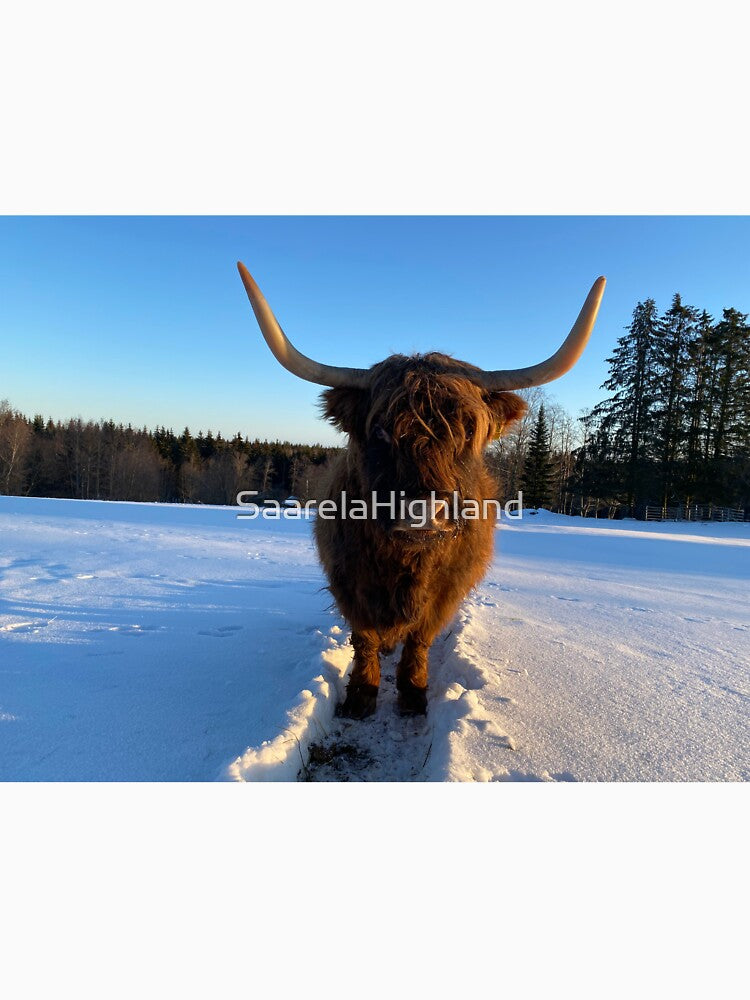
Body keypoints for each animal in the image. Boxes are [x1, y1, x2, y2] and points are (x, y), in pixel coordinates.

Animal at [238, 262, 605, 719]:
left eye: (468, 429)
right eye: (379, 429)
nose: (422, 512)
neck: (405, 563)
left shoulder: (446, 591)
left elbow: (419, 639)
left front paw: (413, 694)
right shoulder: (348, 582)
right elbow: (365, 638)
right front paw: (361, 695)